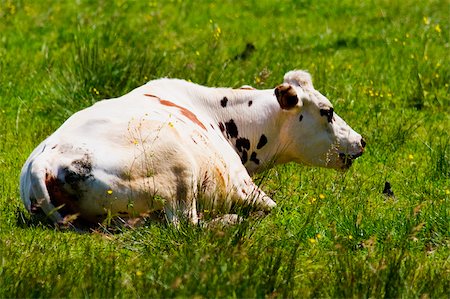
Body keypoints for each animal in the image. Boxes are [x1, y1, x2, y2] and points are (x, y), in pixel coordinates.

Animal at [20, 70, 366, 229]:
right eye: (328, 111)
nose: (362, 140)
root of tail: (46, 159)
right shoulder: (244, 186)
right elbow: (271, 206)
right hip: (180, 173)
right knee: (185, 226)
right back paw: (231, 221)